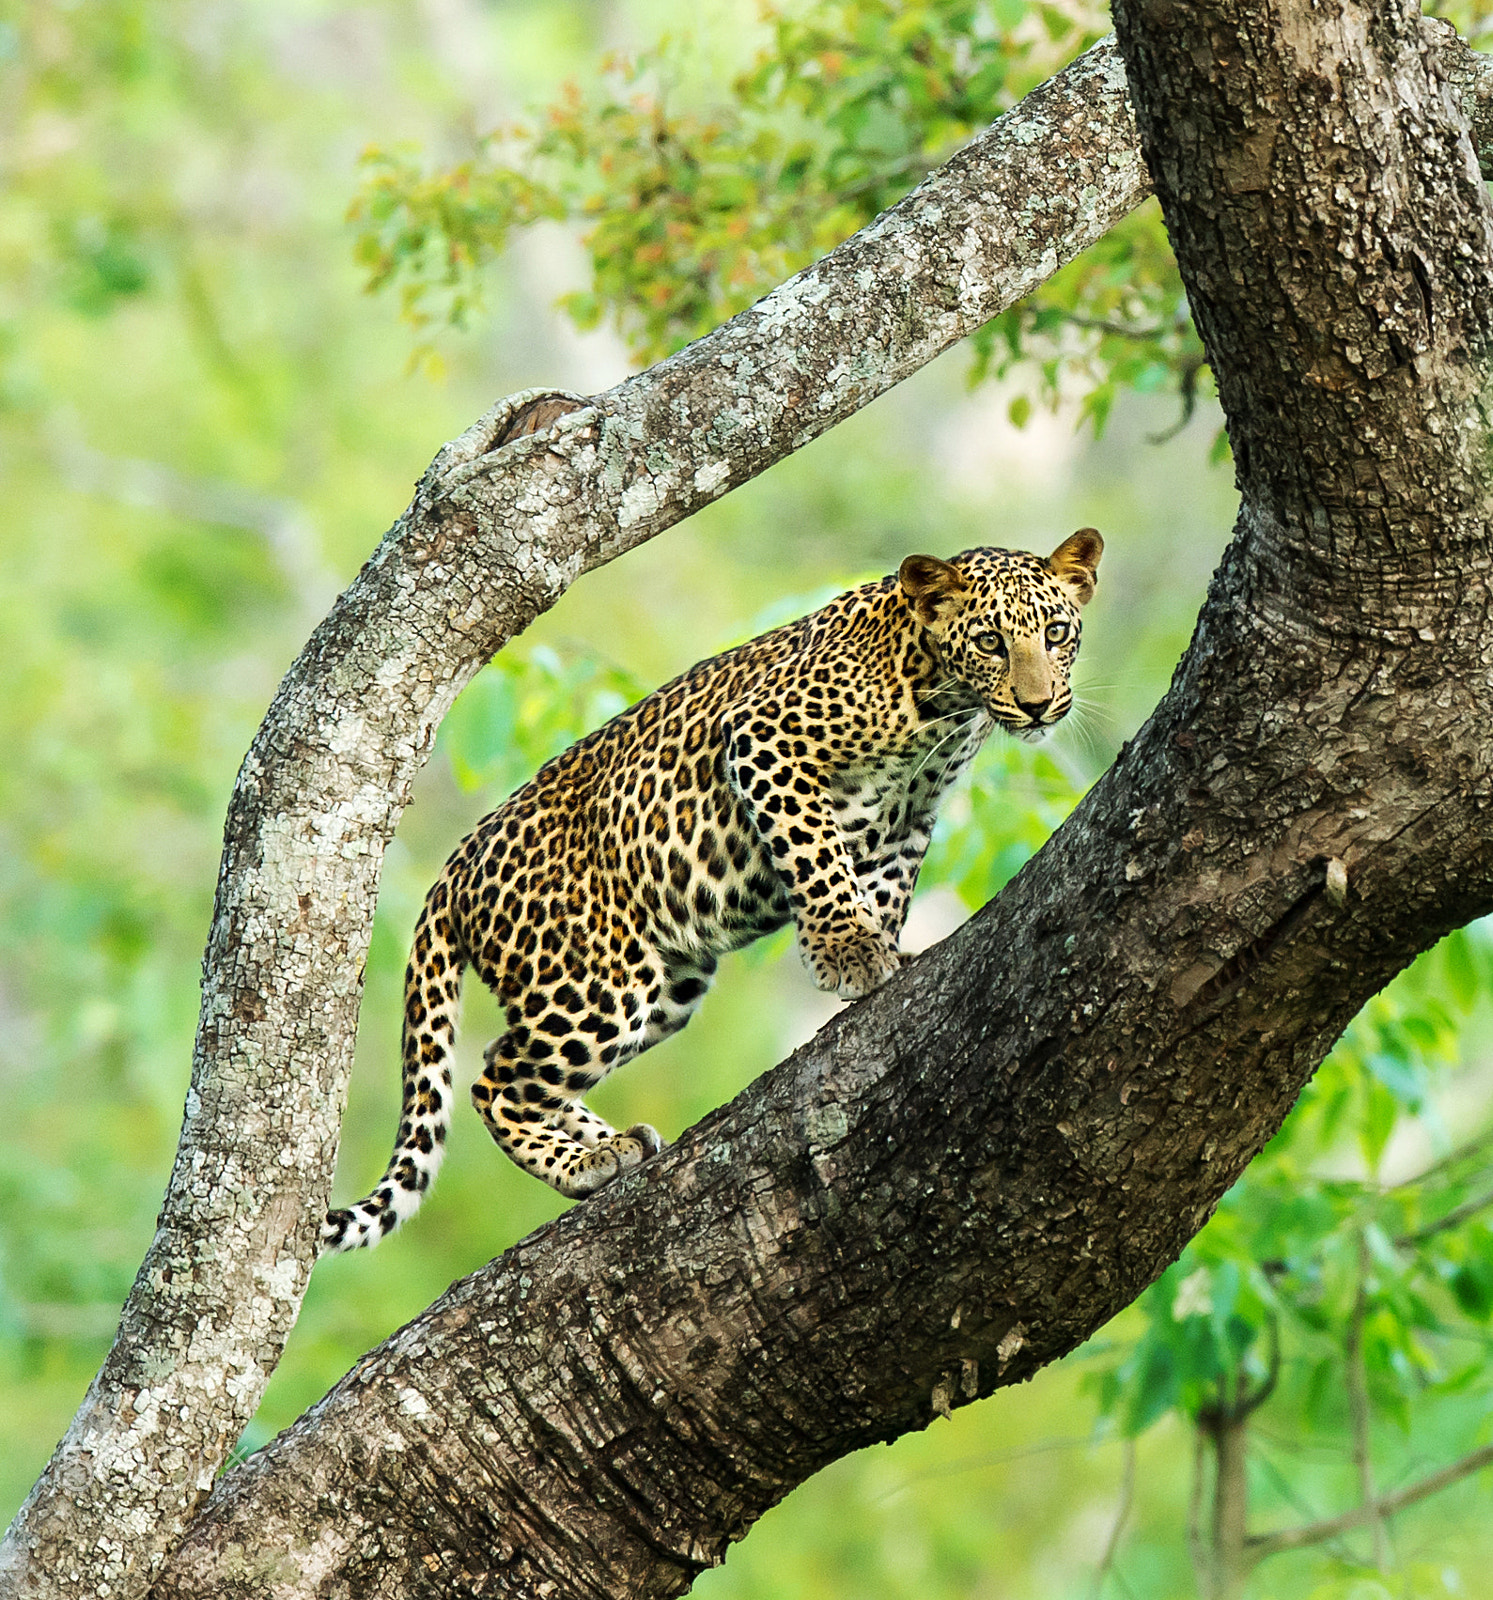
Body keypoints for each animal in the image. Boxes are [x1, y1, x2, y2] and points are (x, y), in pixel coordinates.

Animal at [321, 529, 1103, 1253]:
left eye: (1057, 634)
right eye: (990, 641)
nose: (1039, 706)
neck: (941, 699)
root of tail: (455, 867)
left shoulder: (906, 820)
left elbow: (881, 885)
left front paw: (877, 950)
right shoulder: (766, 741)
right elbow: (817, 855)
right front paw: (849, 953)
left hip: (666, 987)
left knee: (530, 1074)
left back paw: (612, 1144)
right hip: (597, 984)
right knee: (496, 1077)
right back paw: (584, 1161)